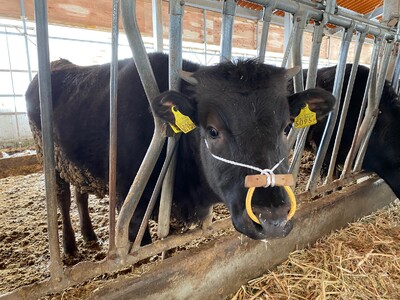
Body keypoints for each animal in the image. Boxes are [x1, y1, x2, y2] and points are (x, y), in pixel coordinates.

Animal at [25, 52, 334, 254]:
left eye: (287, 128)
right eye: (212, 131)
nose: (273, 219)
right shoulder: (131, 206)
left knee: (81, 195)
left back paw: (89, 236)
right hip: (49, 159)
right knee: (62, 199)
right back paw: (70, 249)